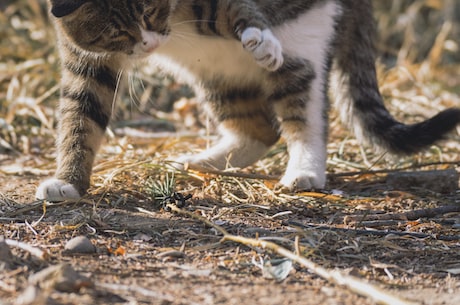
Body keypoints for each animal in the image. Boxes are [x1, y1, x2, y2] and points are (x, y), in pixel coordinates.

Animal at [36, 0, 460, 200]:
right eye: (117, 33)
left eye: (151, 11)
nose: (150, 43)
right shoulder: (87, 60)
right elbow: (80, 117)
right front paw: (69, 182)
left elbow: (235, 10)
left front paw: (260, 38)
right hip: (218, 72)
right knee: (258, 129)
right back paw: (203, 162)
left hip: (302, 46)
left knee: (304, 113)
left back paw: (304, 169)